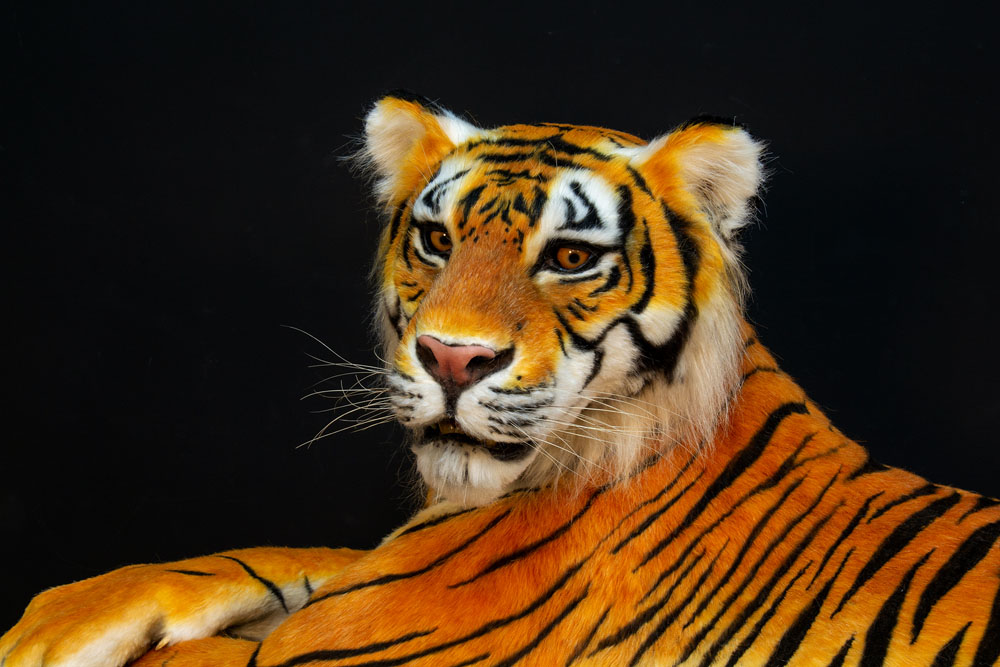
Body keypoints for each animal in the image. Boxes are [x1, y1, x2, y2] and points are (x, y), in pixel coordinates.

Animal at [2, 93, 999, 667]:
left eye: (570, 257)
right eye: (436, 239)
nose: (453, 359)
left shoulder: (337, 648)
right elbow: (274, 556)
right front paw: (52, 623)